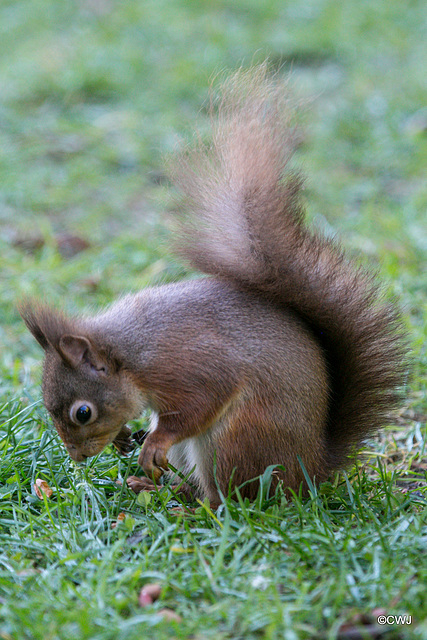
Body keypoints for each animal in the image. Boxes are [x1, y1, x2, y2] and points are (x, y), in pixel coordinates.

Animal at [20, 65, 408, 504]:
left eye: (82, 412)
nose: (78, 457)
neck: (129, 354)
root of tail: (310, 472)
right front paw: (125, 437)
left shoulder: (186, 364)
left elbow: (200, 403)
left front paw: (153, 441)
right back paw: (158, 487)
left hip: (237, 440)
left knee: (229, 500)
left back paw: (187, 504)